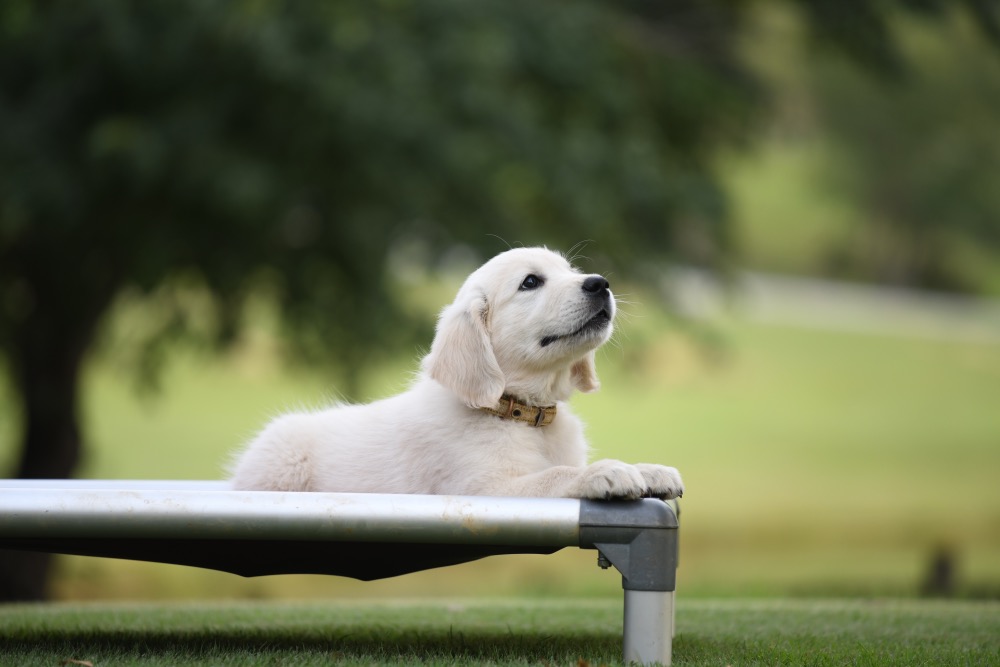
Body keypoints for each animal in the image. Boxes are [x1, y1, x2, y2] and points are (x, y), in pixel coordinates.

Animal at [229, 248, 680, 498]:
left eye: (570, 271)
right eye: (530, 282)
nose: (600, 283)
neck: (521, 414)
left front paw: (650, 470)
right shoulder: (484, 488)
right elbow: (555, 475)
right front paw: (605, 472)